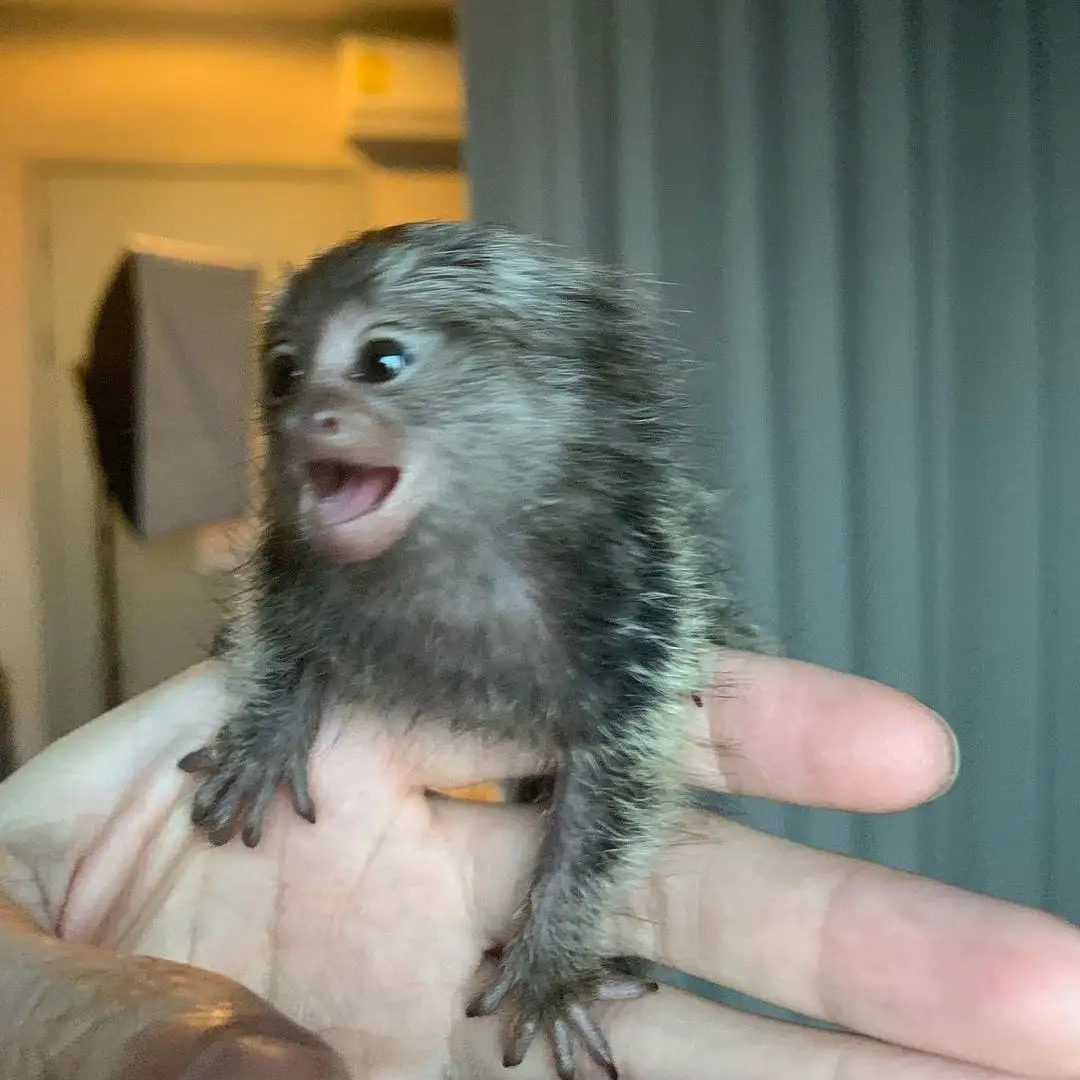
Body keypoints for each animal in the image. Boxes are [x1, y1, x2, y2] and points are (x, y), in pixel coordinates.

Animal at [178, 221, 764, 1080]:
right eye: (283, 374)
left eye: (381, 361)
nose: (298, 421)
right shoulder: (293, 570)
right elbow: (278, 640)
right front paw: (265, 736)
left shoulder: (639, 607)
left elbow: (610, 794)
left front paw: (552, 962)